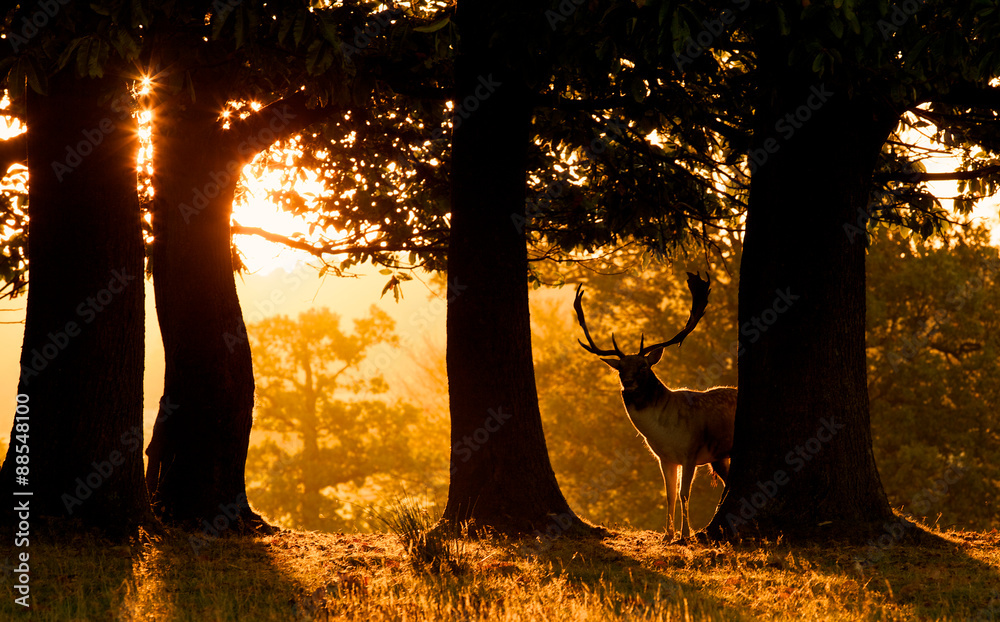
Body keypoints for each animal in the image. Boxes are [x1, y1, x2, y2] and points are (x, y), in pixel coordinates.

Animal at [574, 272, 736, 541]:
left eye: (643, 366)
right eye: (620, 368)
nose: (628, 383)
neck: (665, 431)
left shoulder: (691, 452)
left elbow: (683, 494)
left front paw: (685, 535)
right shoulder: (664, 458)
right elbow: (669, 494)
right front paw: (667, 535)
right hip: (719, 457)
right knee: (727, 484)